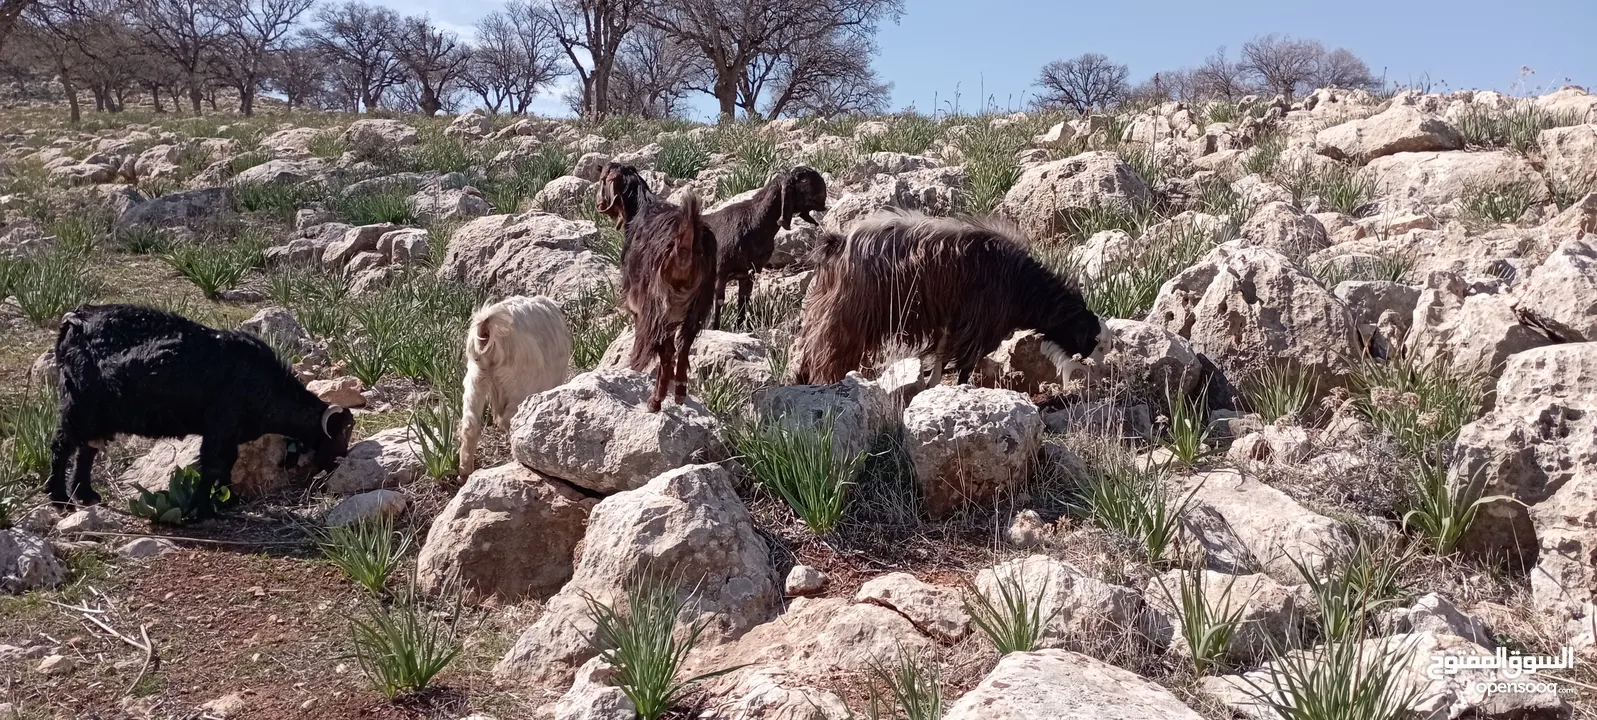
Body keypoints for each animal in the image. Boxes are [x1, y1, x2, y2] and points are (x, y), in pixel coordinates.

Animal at [47, 304, 356, 514]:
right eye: (341, 433)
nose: (338, 461)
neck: (264, 383)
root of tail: (74, 321)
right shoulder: (220, 425)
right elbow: (213, 464)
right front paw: (201, 509)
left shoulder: (230, 434)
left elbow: (226, 466)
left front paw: (225, 500)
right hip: (80, 405)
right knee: (62, 446)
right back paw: (60, 500)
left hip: (100, 414)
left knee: (87, 448)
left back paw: (85, 495)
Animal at [456, 295, 574, 478]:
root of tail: (487, 328)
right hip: (520, 383)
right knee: (510, 421)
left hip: (476, 378)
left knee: (470, 425)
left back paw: (464, 472)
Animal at [705, 165, 830, 330]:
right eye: (803, 180)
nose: (823, 198)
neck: (754, 223)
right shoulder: (721, 273)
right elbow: (718, 302)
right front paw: (714, 329)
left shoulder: (748, 274)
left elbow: (743, 302)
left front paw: (738, 328)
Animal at [788, 210, 1111, 389]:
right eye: (1096, 343)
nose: (1100, 370)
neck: (1023, 284)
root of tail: (838, 244)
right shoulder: (979, 326)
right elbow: (965, 365)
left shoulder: (952, 321)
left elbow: (941, 356)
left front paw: (931, 385)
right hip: (847, 317)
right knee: (827, 353)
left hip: (824, 309)